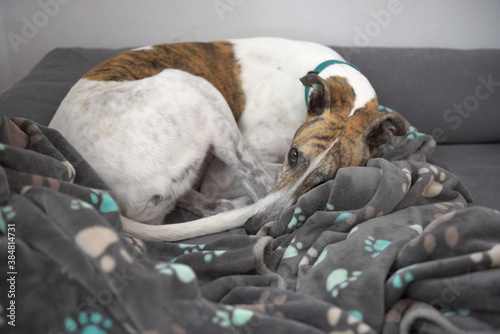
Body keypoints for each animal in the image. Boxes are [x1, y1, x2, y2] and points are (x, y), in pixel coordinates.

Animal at [48, 37, 404, 240]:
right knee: (254, 184)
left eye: (327, 181)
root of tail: (100, 189)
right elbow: (264, 182)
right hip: (200, 92)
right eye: (292, 155)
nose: (253, 228)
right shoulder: (231, 168)